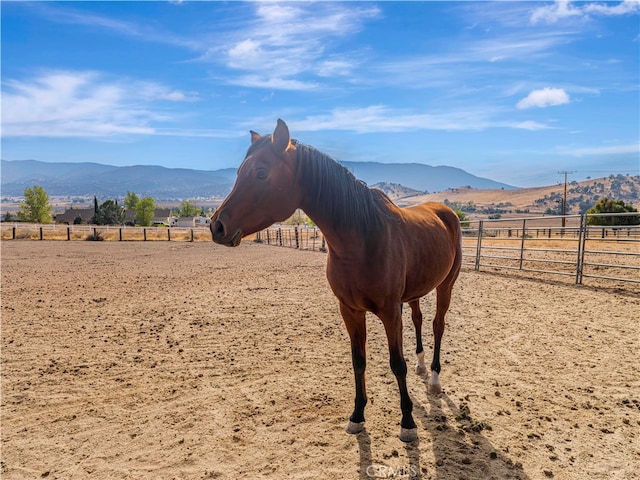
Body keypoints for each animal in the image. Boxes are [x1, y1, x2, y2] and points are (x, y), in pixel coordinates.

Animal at [212, 120, 462, 442]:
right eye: (239, 173)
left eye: (261, 173)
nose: (216, 225)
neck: (363, 239)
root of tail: (446, 212)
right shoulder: (350, 310)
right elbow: (359, 361)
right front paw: (357, 415)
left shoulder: (389, 312)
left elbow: (397, 364)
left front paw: (407, 422)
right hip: (415, 292)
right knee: (418, 320)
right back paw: (421, 365)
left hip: (446, 286)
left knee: (437, 325)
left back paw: (433, 378)